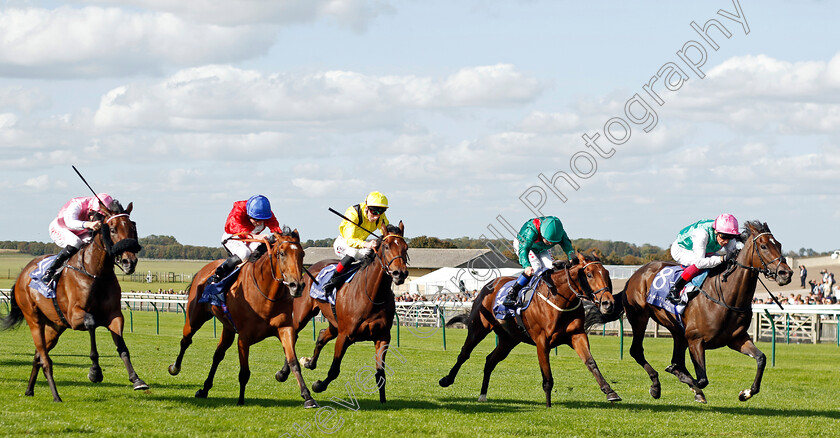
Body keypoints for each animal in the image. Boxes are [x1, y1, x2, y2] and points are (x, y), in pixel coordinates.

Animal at [0, 200, 145, 402]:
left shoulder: (114, 315)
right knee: (45, 359)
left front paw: (136, 379)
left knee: (38, 356)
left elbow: (122, 347)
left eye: (133, 227)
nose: (129, 262)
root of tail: (22, 275)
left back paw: (29, 390)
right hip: (34, 320)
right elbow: (91, 323)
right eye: (113, 229)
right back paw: (56, 396)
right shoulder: (75, 316)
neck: (96, 273)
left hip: (54, 327)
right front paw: (95, 372)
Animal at [167, 229, 318, 408]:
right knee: (186, 340)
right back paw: (175, 368)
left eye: (302, 254)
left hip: (228, 328)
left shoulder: (285, 328)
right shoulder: (244, 338)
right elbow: (244, 372)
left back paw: (204, 389)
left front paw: (307, 397)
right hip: (195, 317)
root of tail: (205, 270)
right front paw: (240, 400)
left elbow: (293, 362)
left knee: (218, 354)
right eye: (282, 253)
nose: (297, 286)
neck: (267, 296)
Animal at [274, 222, 408, 404]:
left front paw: (383, 399)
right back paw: (283, 373)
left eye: (405, 247)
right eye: (386, 246)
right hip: (302, 315)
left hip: (333, 322)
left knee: (322, 335)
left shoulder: (382, 337)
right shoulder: (345, 335)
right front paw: (318, 385)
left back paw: (309, 363)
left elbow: (381, 373)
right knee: (292, 335)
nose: (399, 273)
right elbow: (334, 370)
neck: (372, 295)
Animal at [440, 253, 624, 408]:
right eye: (589, 274)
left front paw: (610, 392)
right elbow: (547, 375)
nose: (608, 303)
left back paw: (483, 395)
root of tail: (488, 285)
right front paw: (548, 405)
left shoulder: (577, 335)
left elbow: (590, 362)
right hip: (478, 328)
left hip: (509, 339)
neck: (560, 299)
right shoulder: (542, 342)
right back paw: (447, 380)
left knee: (490, 360)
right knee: (464, 353)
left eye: (606, 273)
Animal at [584, 221, 796, 402]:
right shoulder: (696, 340)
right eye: (763, 246)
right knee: (637, 350)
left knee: (676, 357)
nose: (786, 273)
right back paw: (656, 386)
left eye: (779, 244)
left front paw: (746, 393)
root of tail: (635, 274)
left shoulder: (737, 338)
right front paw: (680, 376)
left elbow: (761, 358)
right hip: (640, 317)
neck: (726, 296)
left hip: (678, 331)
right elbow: (701, 379)